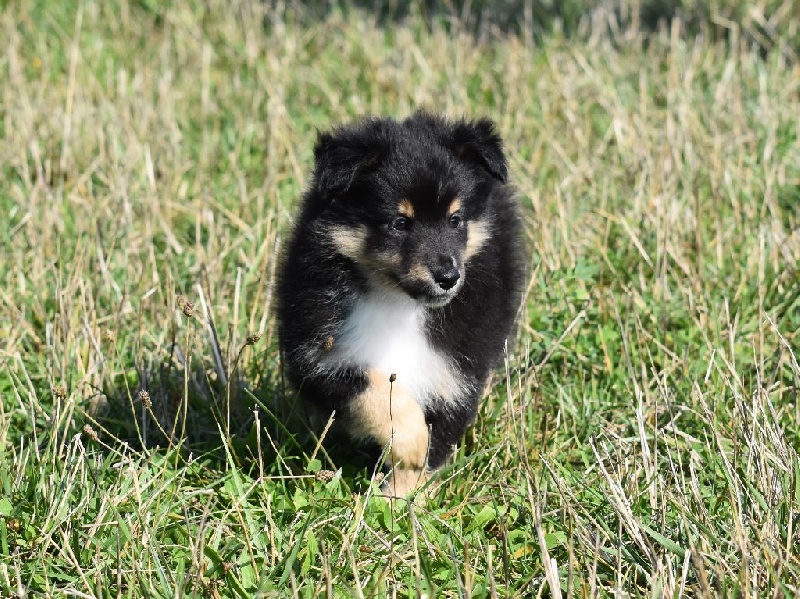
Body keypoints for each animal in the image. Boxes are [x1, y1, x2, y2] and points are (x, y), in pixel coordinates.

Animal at [276, 112, 524, 496]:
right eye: (399, 223)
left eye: (455, 220)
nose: (448, 276)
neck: (399, 303)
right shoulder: (320, 359)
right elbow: (383, 399)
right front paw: (408, 453)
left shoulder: (455, 374)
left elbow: (432, 446)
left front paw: (401, 499)